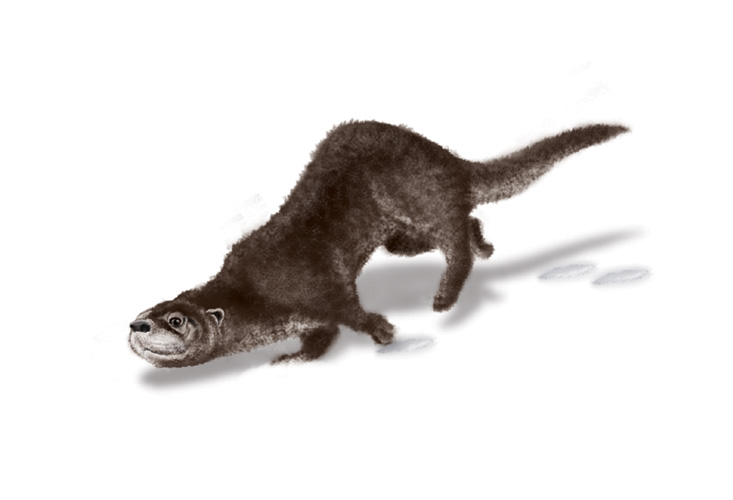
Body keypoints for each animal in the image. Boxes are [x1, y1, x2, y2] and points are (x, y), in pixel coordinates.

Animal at [129, 120, 628, 368]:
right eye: (143, 311)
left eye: (175, 320)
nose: (138, 326)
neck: (259, 294)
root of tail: (446, 160)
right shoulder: (307, 316)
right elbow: (321, 336)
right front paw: (293, 358)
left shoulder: (316, 284)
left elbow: (348, 310)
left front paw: (382, 332)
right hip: (401, 235)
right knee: (466, 220)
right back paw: (484, 246)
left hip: (415, 194)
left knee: (454, 236)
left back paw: (446, 296)